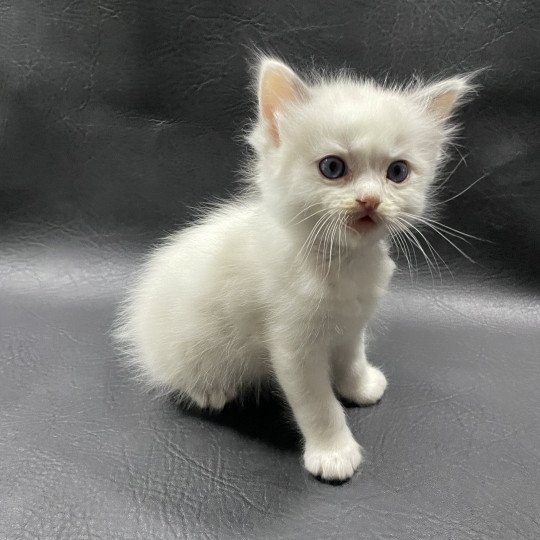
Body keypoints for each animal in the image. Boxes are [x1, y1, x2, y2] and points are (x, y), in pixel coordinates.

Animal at [114, 58, 472, 480]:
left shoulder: (352, 325)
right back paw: (210, 391)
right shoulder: (293, 345)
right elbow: (318, 405)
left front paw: (360, 386)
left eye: (397, 172)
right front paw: (333, 454)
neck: (340, 263)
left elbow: (352, 357)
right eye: (333, 167)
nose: (370, 200)